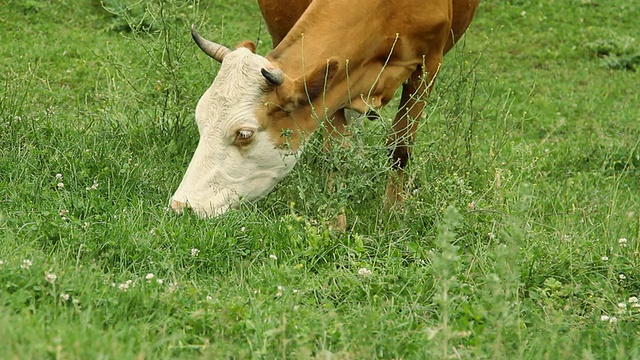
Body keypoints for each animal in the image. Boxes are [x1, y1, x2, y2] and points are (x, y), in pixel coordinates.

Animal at [170, 0, 480, 218]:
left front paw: (393, 213)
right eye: (200, 120)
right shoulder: (334, 83)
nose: (181, 206)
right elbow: (337, 156)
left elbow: (400, 149)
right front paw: (335, 222)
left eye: (244, 134)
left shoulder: (429, 65)